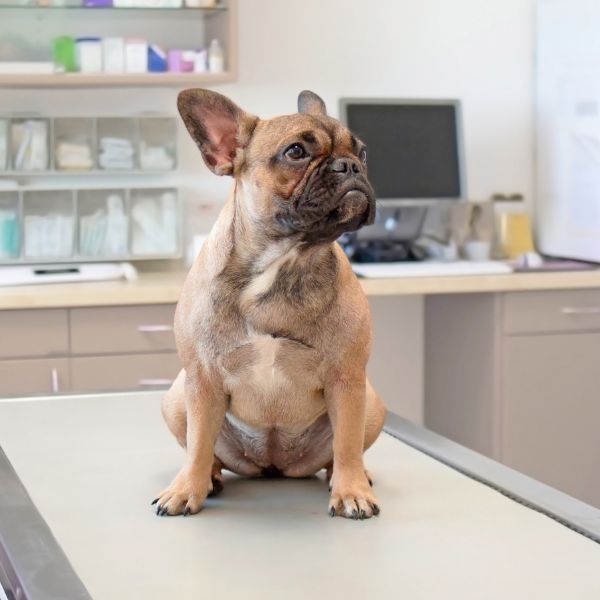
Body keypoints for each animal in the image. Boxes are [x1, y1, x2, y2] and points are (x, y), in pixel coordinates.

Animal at [154, 89, 384, 520]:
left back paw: (349, 476)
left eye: (363, 152)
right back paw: (209, 476)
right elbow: (197, 444)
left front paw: (351, 492)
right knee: (203, 447)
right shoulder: (202, 380)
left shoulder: (347, 381)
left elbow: (346, 444)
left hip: (371, 403)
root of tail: (274, 464)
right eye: (295, 151)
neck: (285, 260)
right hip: (177, 397)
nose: (351, 166)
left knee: (342, 452)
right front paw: (185, 489)